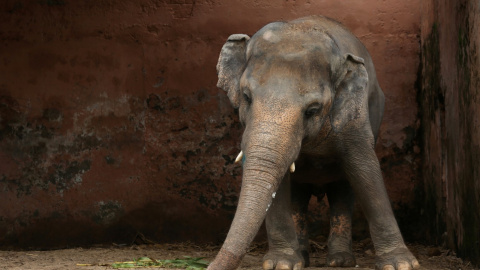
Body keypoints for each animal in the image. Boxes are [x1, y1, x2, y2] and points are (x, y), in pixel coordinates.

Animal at [208, 15, 418, 270]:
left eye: (312, 110)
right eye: (246, 97)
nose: (208, 265)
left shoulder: (355, 117)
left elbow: (365, 169)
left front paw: (402, 264)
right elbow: (279, 182)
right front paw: (281, 264)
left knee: (343, 191)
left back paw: (340, 261)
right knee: (299, 196)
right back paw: (303, 258)